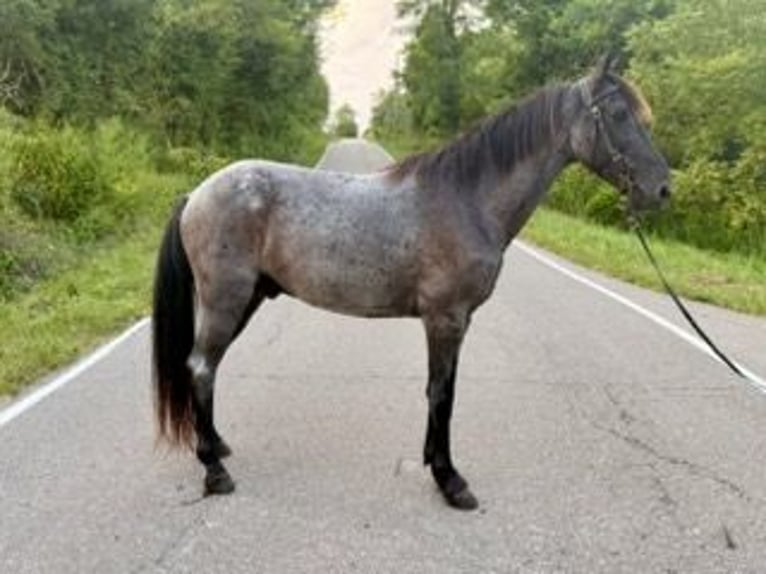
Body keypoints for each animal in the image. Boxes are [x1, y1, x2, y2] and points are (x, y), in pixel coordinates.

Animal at [152, 56, 670, 511]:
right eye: (619, 114)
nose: (662, 188)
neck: (467, 200)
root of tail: (196, 193)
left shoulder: (457, 322)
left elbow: (442, 390)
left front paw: (433, 462)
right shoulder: (445, 319)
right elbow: (442, 394)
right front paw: (450, 480)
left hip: (248, 299)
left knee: (204, 368)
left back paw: (217, 447)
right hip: (226, 300)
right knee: (200, 367)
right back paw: (214, 472)